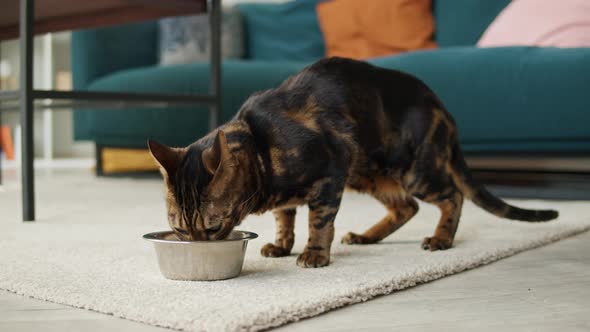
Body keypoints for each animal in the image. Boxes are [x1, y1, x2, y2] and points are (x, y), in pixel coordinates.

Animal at [148, 57, 560, 268]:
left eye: (214, 228)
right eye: (181, 230)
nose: (199, 249)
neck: (261, 145)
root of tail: (444, 108)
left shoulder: (330, 174)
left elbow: (318, 223)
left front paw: (314, 254)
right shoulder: (297, 192)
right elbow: (285, 219)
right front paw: (281, 246)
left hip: (413, 169)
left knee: (452, 197)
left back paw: (441, 239)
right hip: (368, 174)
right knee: (405, 207)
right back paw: (366, 236)